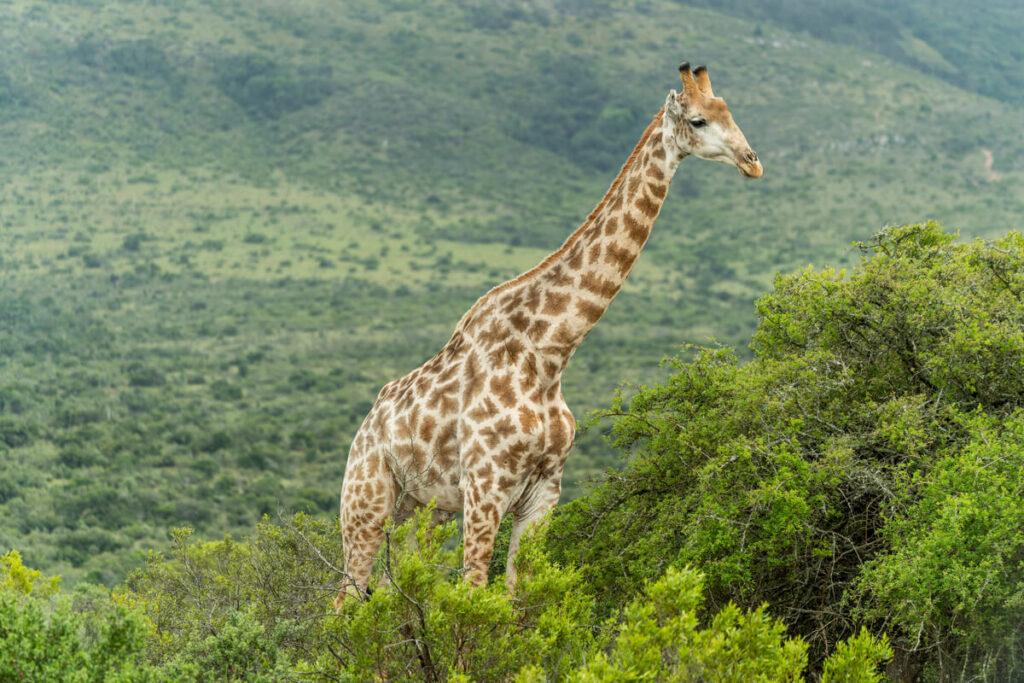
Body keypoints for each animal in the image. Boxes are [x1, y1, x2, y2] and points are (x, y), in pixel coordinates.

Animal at [335, 63, 762, 606]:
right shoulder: (487, 486)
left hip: (422, 509)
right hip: (366, 501)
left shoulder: (544, 491)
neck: (549, 352)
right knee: (343, 600)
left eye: (730, 111)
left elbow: (519, 598)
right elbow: (475, 596)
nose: (752, 162)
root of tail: (365, 426)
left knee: (393, 595)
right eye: (698, 120)